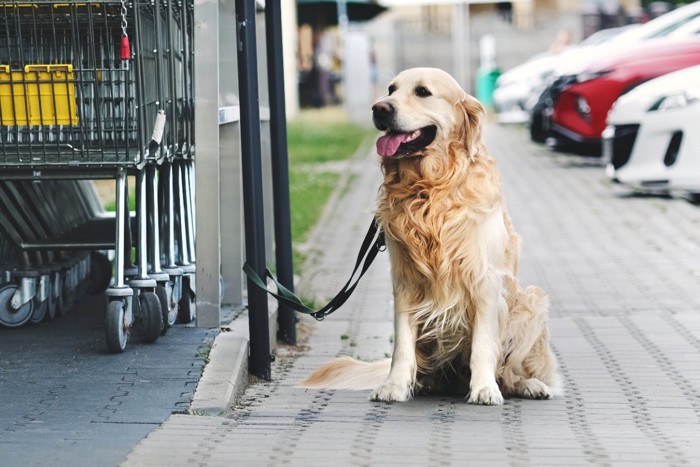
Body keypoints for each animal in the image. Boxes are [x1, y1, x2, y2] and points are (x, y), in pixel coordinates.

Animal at [298, 67, 560, 404]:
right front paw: (394, 385)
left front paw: (484, 388)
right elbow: (402, 345)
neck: (430, 190)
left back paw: (528, 385)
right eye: (391, 89)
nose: (379, 108)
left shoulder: (485, 281)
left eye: (422, 92)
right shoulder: (404, 279)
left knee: (510, 371)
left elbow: (483, 346)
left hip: (531, 300)